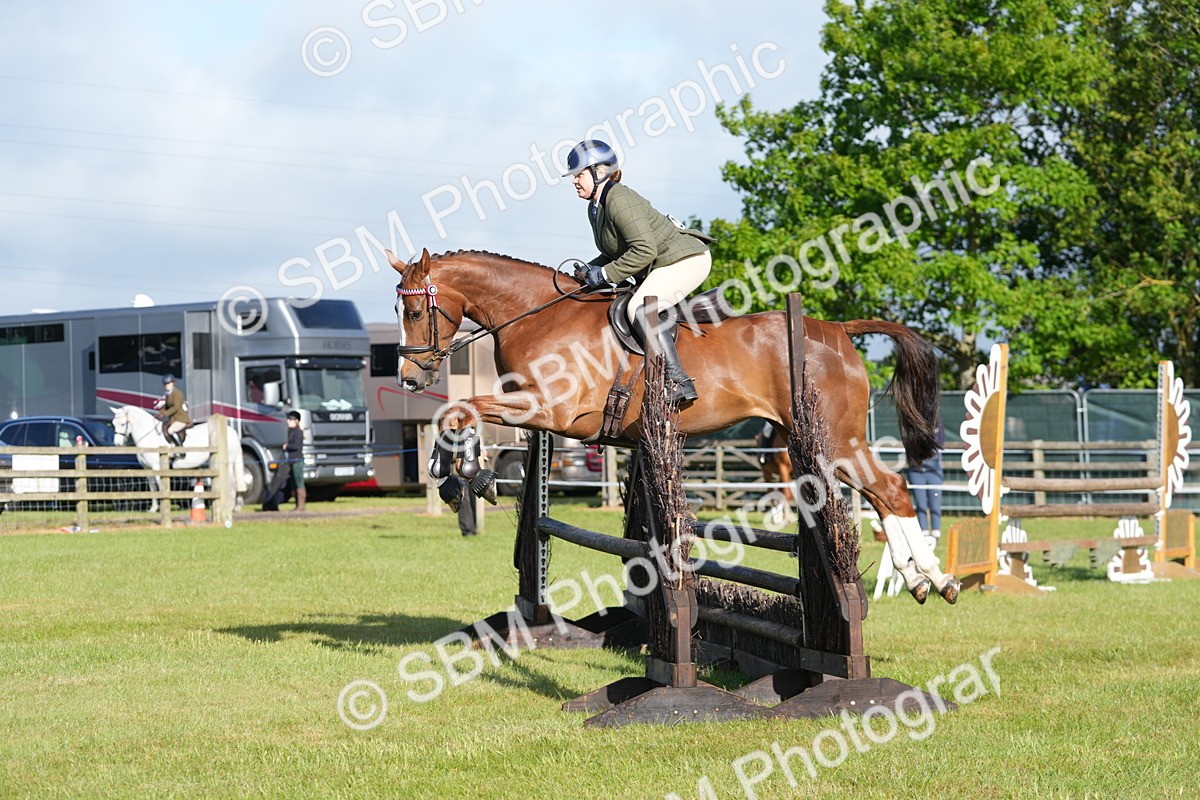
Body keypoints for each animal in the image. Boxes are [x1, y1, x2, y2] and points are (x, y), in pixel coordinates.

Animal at [110, 405, 247, 512]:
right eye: (113, 424)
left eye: (123, 424)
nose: (117, 444)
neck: (150, 436)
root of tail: (231, 431)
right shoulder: (147, 469)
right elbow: (153, 487)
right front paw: (153, 509)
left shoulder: (157, 467)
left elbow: (160, 486)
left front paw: (164, 506)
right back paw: (237, 507)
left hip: (228, 463)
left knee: (232, 484)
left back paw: (231, 506)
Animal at [389, 248, 959, 604]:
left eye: (415, 311)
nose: (411, 378)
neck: (536, 316)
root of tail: (838, 328)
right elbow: (458, 411)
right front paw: (457, 471)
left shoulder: (551, 411)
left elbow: (461, 409)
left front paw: (465, 474)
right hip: (828, 444)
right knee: (883, 495)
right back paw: (917, 580)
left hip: (834, 441)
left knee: (891, 488)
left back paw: (937, 579)